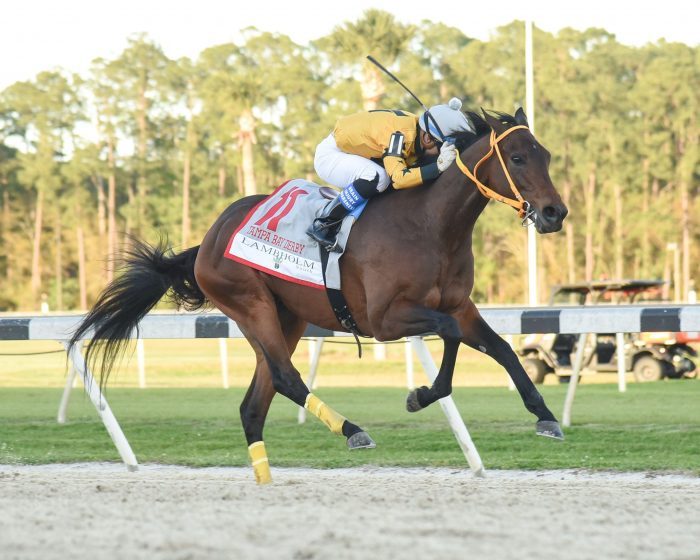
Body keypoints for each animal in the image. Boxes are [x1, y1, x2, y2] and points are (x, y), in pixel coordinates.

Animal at [67, 108, 568, 482]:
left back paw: (266, 479)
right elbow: (447, 341)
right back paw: (352, 430)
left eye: (544, 154)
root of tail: (209, 238)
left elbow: (501, 348)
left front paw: (544, 415)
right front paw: (421, 395)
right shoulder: (386, 319)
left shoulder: (460, 306)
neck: (430, 225)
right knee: (286, 379)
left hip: (285, 318)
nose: (554, 212)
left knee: (255, 403)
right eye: (517, 157)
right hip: (250, 305)